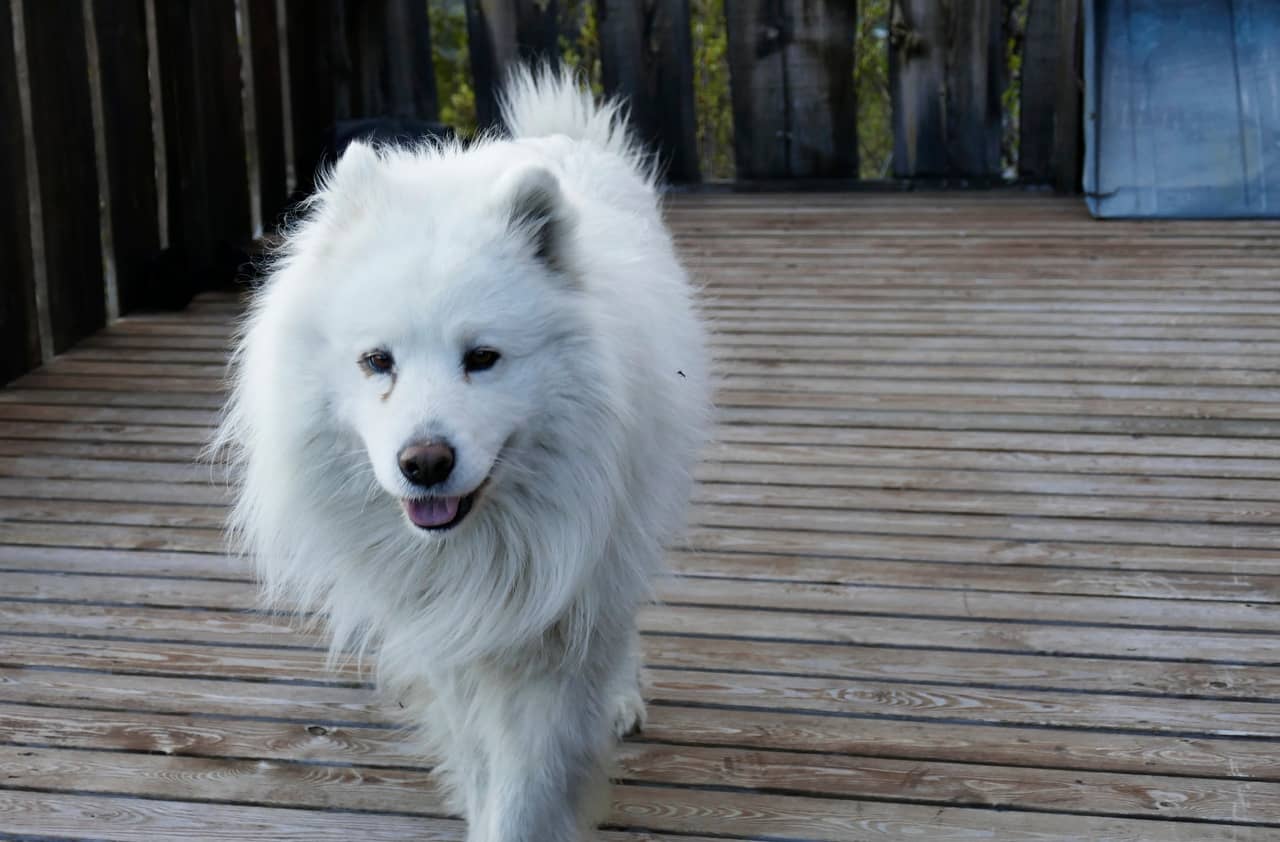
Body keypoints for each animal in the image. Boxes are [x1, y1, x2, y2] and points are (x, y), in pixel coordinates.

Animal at [211, 67, 711, 839]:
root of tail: (557, 139)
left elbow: (526, 785)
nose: (425, 464)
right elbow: (478, 759)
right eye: (376, 361)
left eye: (482, 358)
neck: (482, 544)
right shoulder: (450, 635)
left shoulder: (561, 627)